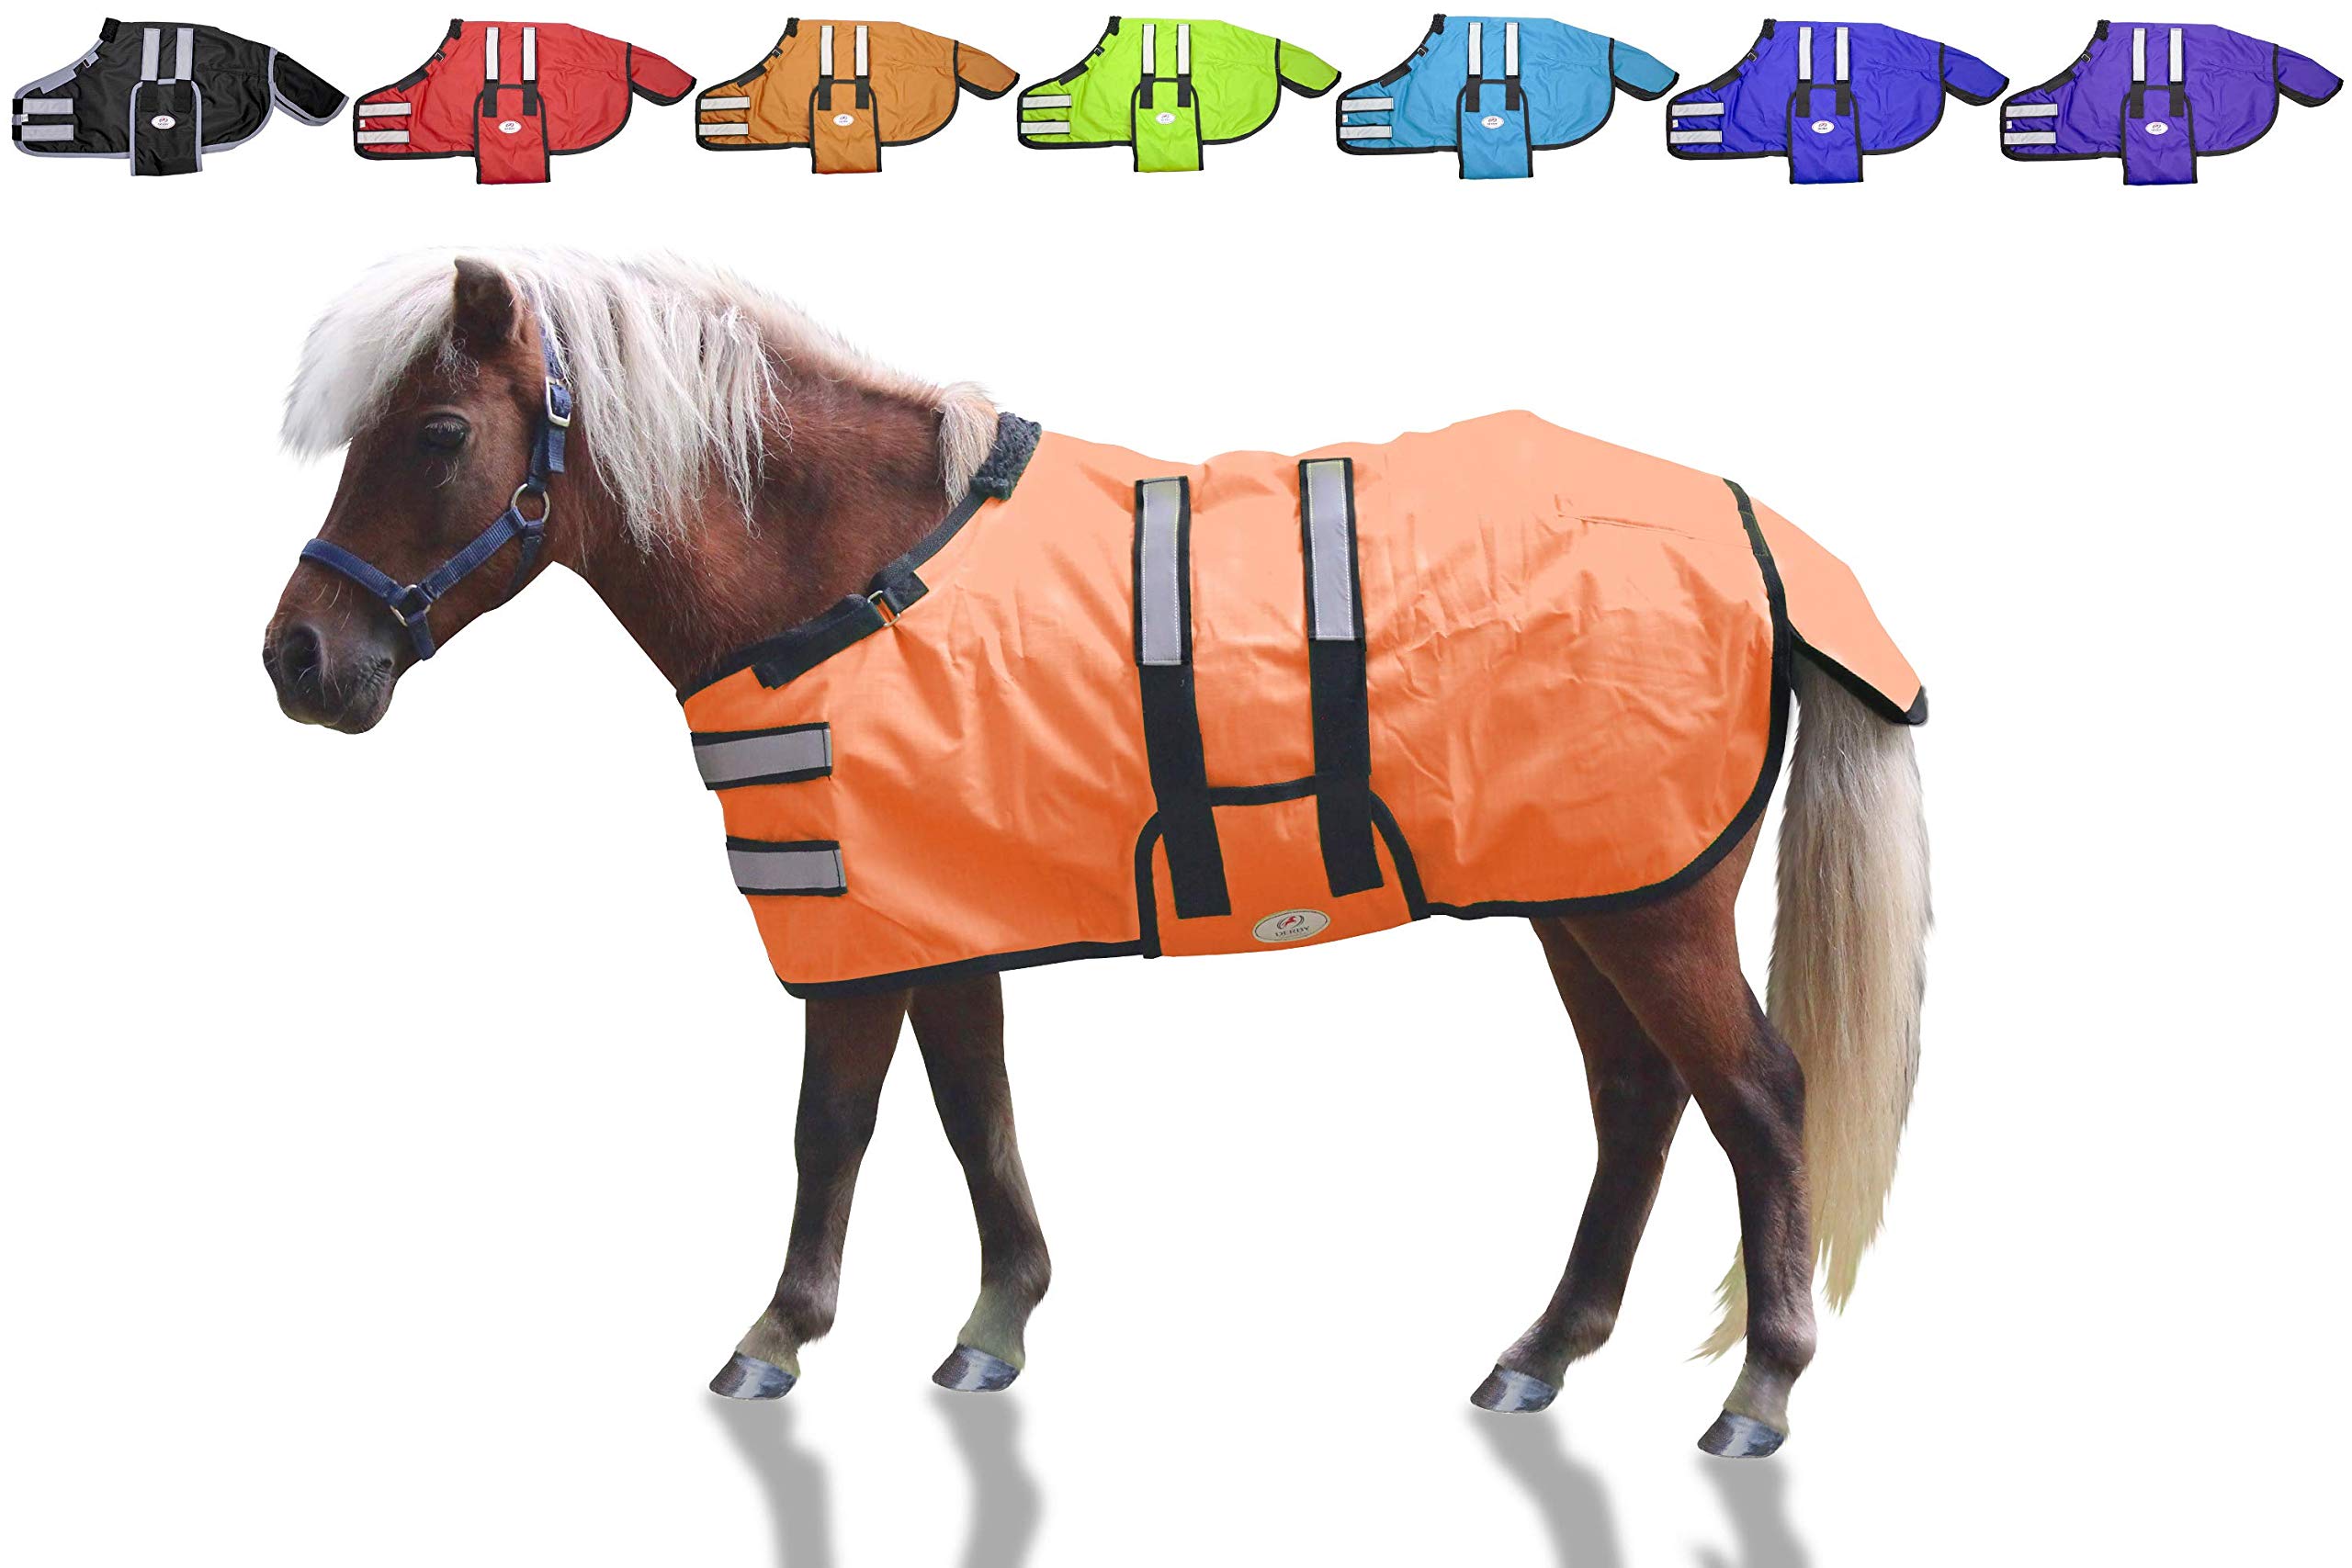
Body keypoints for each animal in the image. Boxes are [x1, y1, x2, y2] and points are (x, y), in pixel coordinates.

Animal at [261, 250, 1929, 1458]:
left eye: (439, 433)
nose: (299, 658)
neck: (846, 570)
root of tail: (1746, 525)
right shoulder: (943, 924)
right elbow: (974, 1114)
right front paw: (996, 1321)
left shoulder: (860, 939)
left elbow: (832, 1131)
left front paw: (777, 1335)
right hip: (1580, 895)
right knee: (1641, 1100)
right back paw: (1543, 1353)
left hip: (1654, 908)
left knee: (1759, 1100)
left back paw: (1761, 1390)